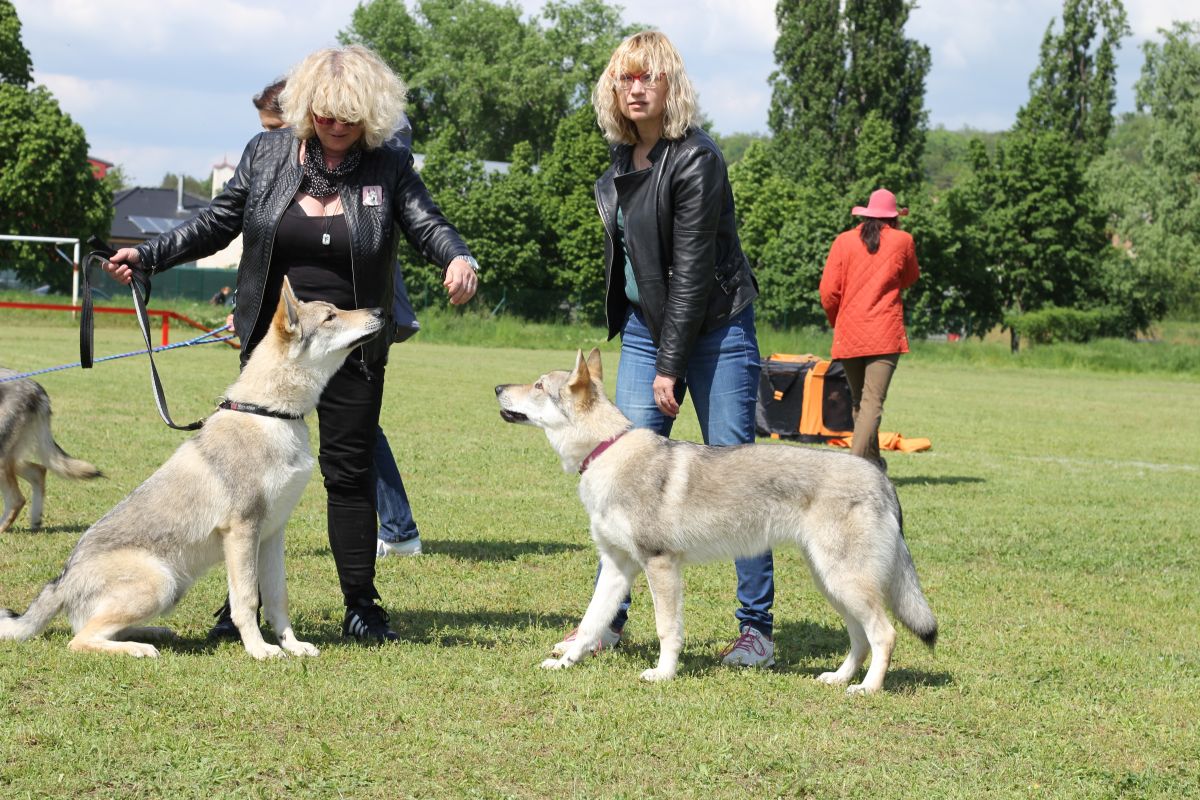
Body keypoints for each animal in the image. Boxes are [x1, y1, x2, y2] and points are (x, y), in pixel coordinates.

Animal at [494, 350, 936, 695]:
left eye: (538, 386)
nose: (498, 388)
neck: (605, 451)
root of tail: (881, 479)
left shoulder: (660, 565)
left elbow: (667, 630)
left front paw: (663, 674)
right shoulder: (618, 567)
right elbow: (589, 625)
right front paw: (565, 662)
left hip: (844, 582)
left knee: (885, 634)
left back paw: (867, 689)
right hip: (832, 584)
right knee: (860, 639)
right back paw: (839, 679)